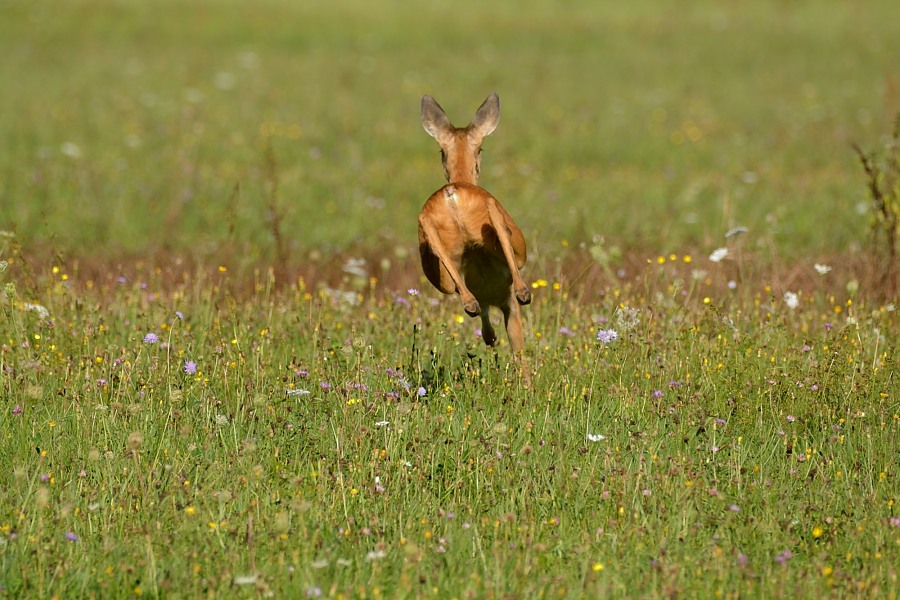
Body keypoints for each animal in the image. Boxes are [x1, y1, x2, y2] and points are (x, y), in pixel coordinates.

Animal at [418, 93, 532, 366]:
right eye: (481, 149)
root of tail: (452, 193)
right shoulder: (508, 307)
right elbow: (518, 351)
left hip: (433, 242)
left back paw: (471, 304)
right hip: (492, 211)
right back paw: (523, 292)